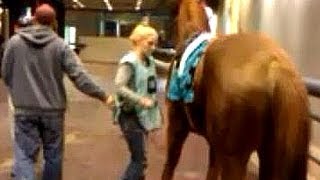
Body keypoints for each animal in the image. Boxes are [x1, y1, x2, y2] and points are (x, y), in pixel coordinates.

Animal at [162, 0, 310, 180]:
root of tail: (276, 67)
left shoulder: (176, 127)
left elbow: (170, 164)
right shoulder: (214, 145)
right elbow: (212, 171)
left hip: (234, 158)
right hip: (269, 156)